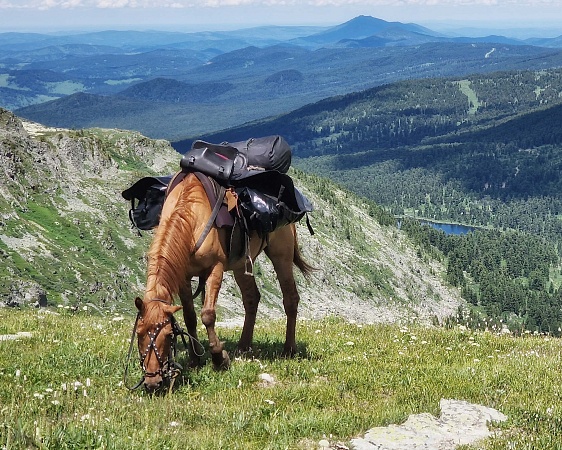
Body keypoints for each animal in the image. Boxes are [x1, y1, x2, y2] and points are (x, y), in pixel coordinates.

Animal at [133, 171, 312, 392]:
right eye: (139, 333)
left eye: (168, 334)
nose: (153, 382)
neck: (192, 214)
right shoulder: (183, 276)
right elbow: (190, 316)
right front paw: (195, 359)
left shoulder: (215, 268)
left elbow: (208, 315)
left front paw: (219, 358)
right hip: (241, 264)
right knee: (252, 299)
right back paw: (243, 347)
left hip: (282, 256)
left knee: (290, 298)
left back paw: (289, 349)